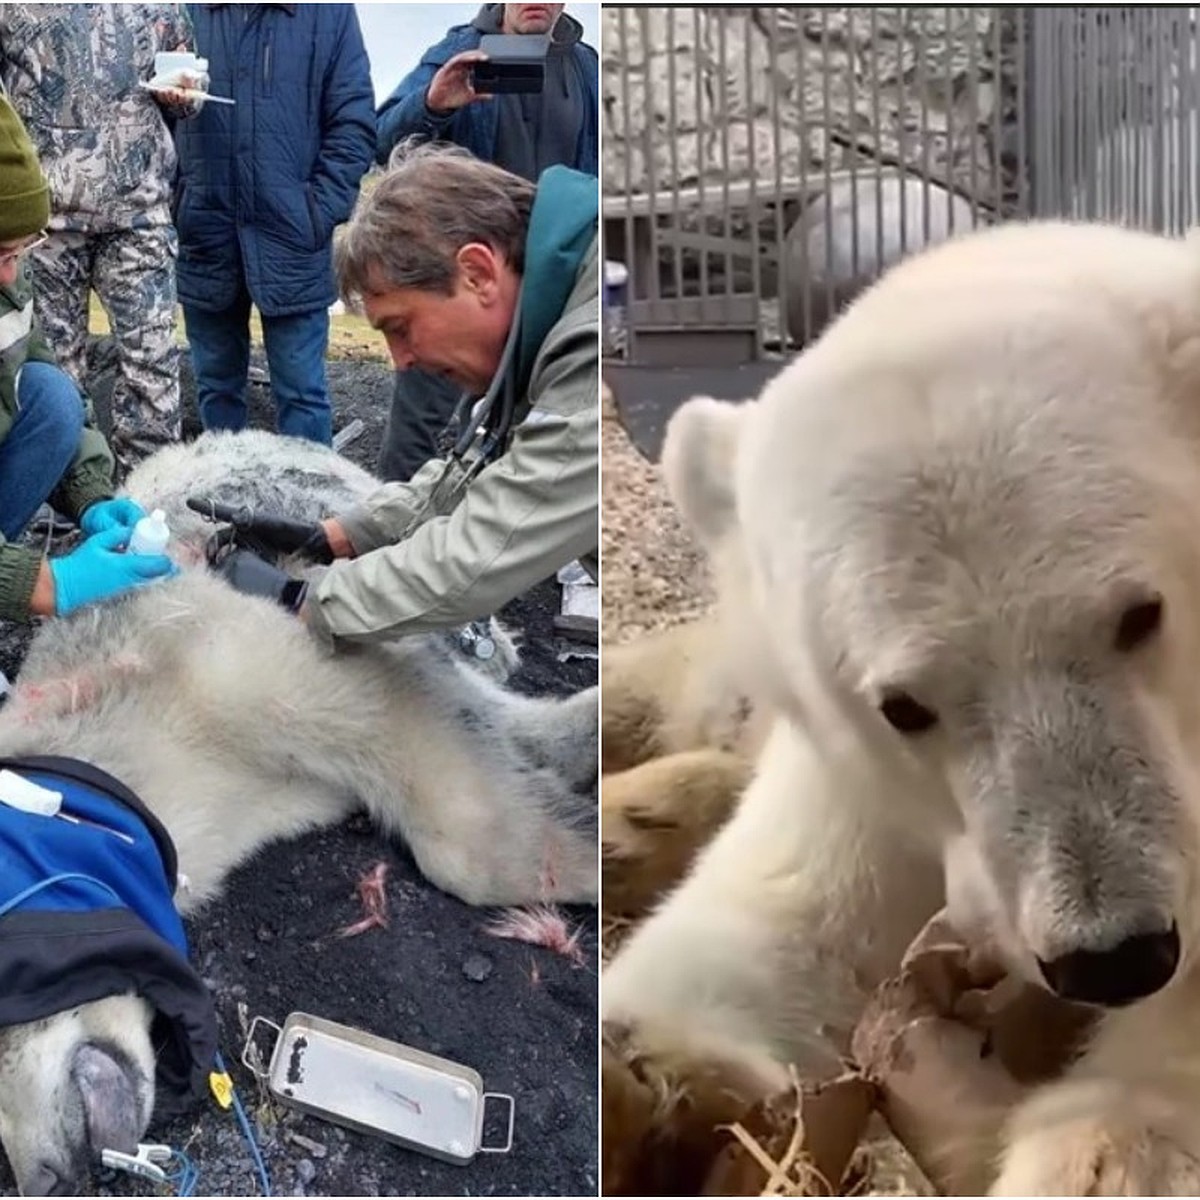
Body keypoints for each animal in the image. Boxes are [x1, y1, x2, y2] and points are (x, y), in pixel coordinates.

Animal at [609, 220, 1200, 1195]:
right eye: (903, 706)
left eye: (1140, 615)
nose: (1111, 956)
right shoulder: (860, 777)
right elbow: (792, 919)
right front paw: (645, 1075)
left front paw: (1100, 1149)